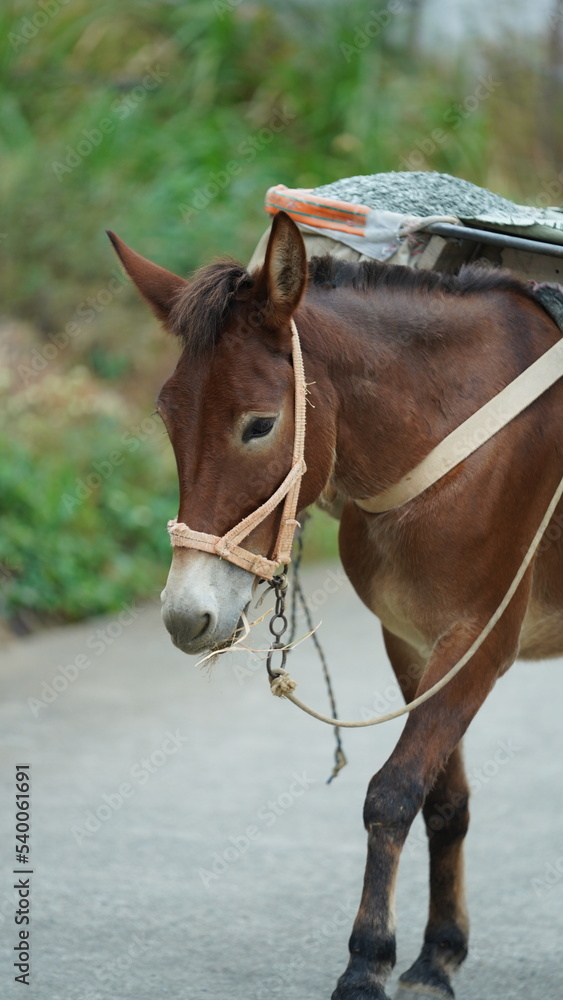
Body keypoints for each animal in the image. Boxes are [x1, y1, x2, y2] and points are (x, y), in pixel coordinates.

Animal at [108, 211, 563, 1000]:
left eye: (260, 425)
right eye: (166, 419)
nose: (184, 615)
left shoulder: (479, 641)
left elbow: (391, 792)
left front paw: (365, 961)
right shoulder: (411, 641)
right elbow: (442, 798)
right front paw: (436, 954)